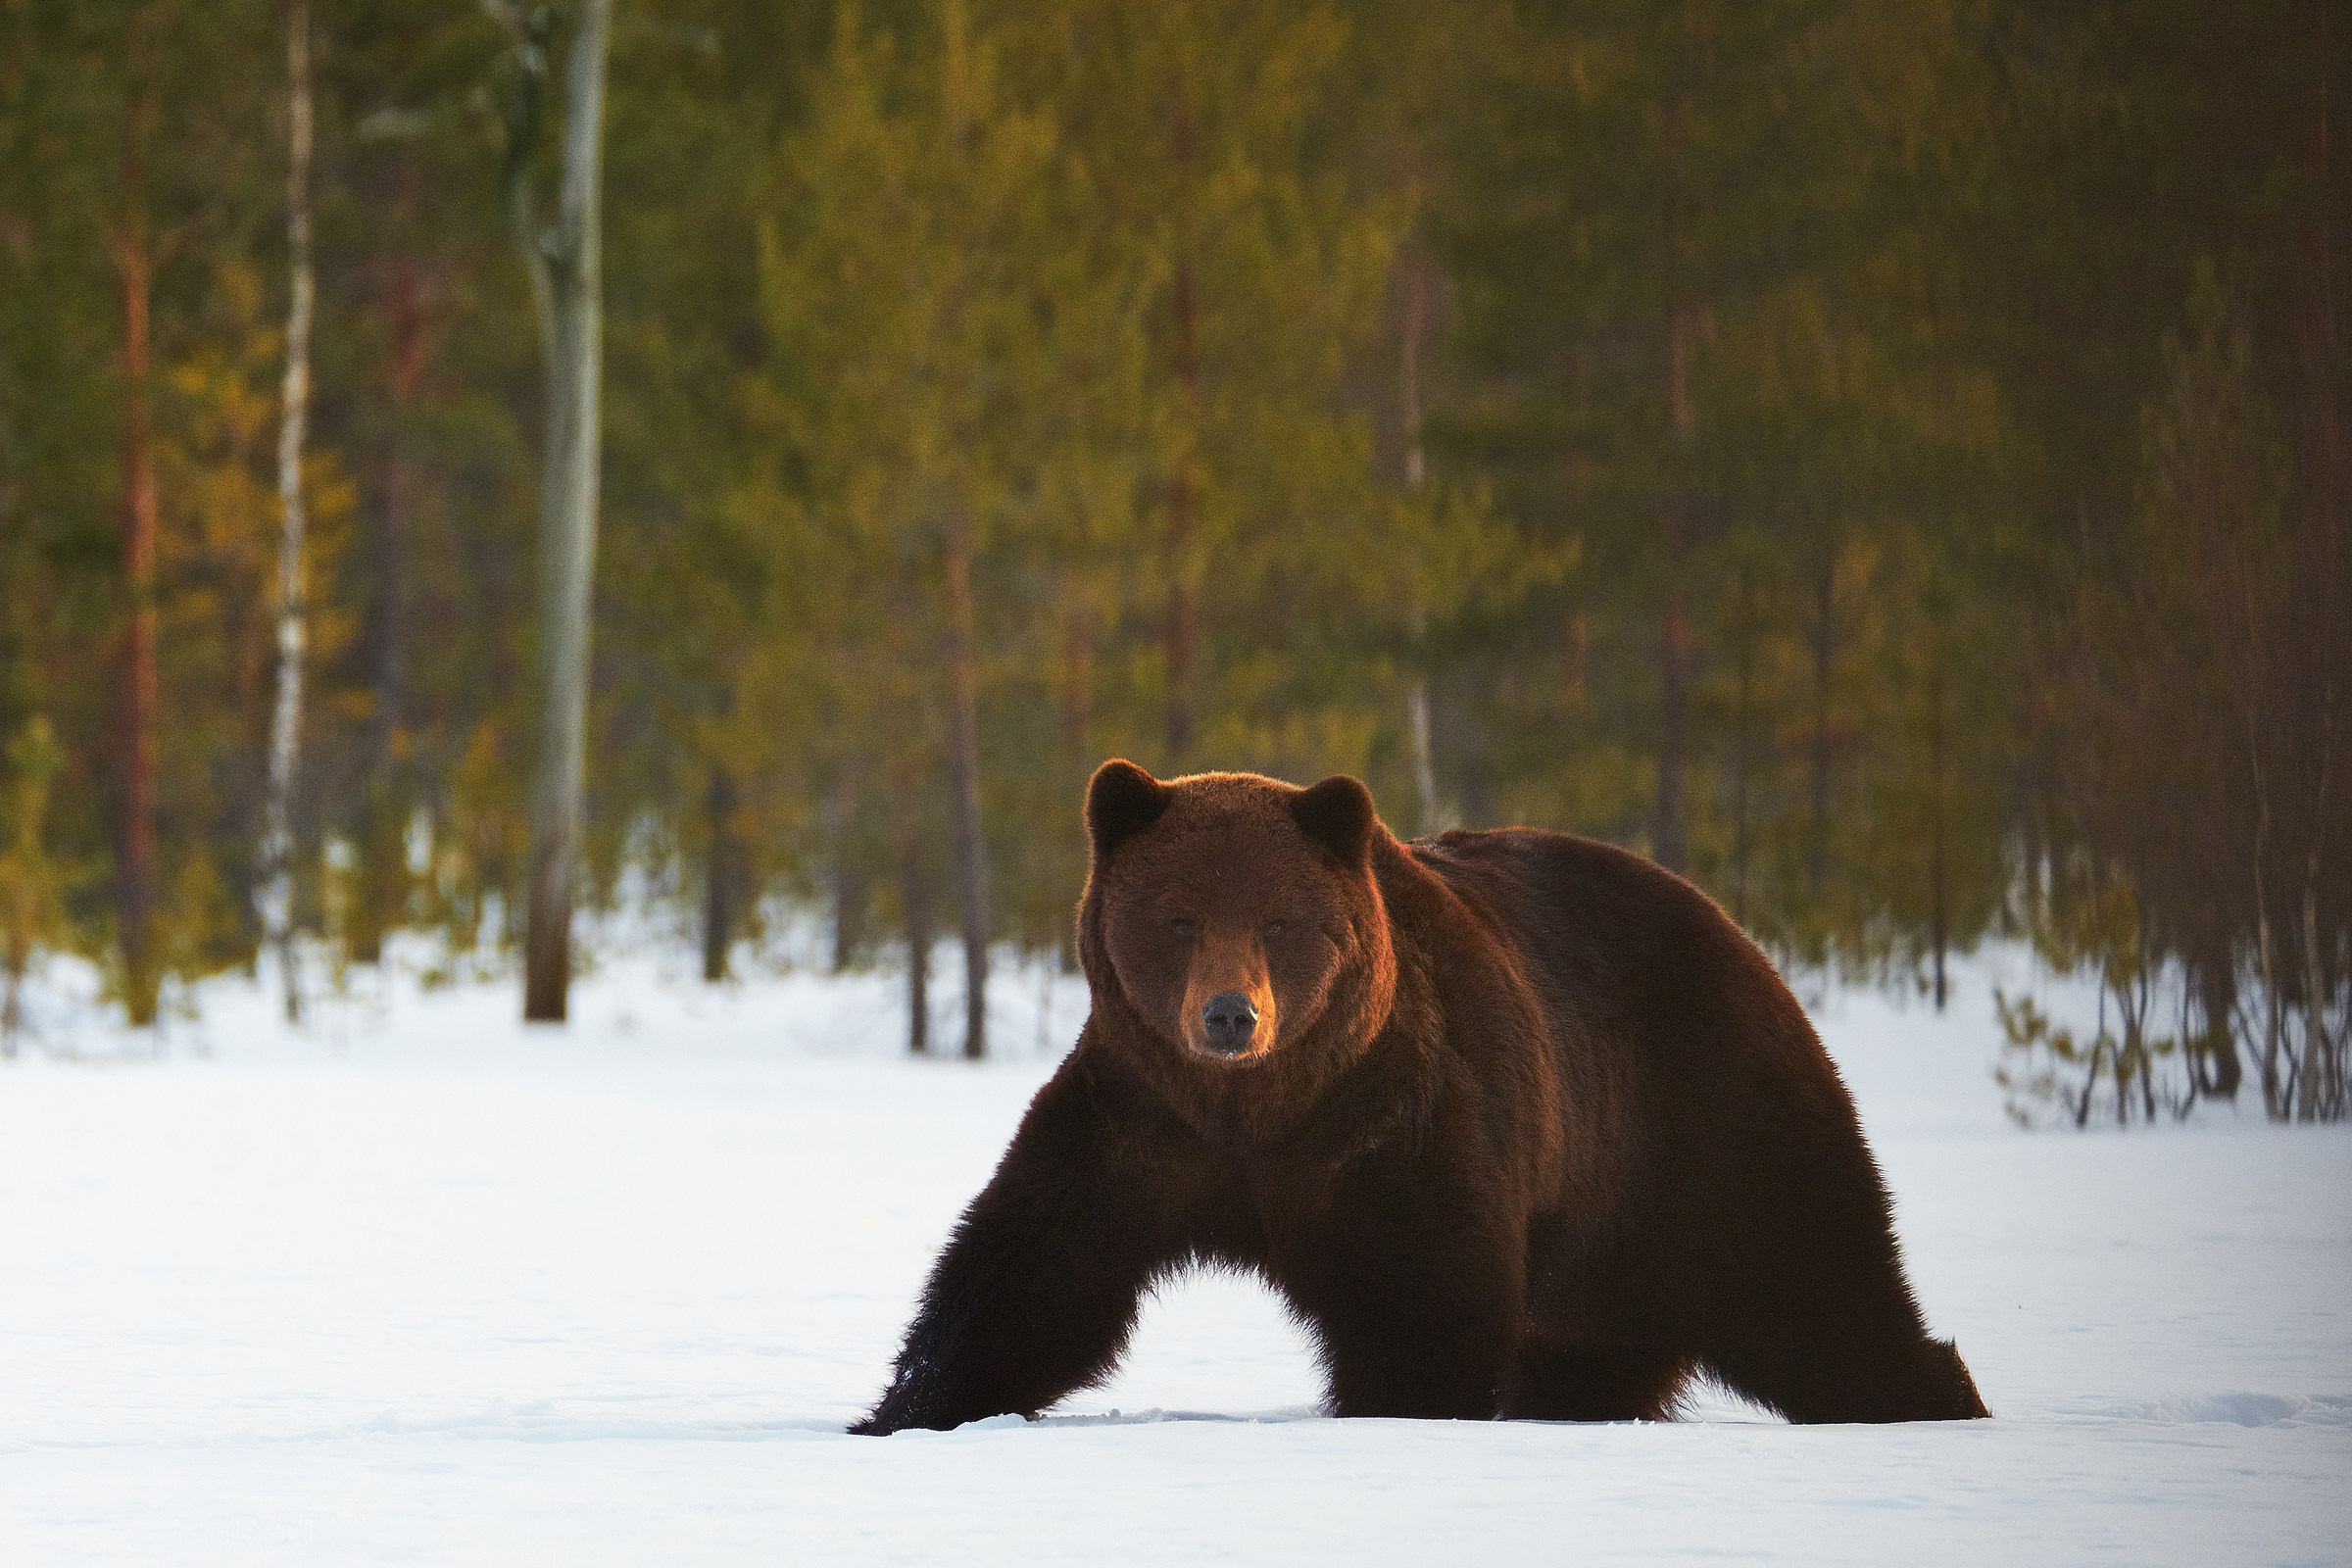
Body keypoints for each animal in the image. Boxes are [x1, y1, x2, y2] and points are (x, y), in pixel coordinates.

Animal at [851, 761, 1988, 1433]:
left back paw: (1934, 1396)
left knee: (1813, 1275)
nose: (1230, 1017)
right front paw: (905, 1408)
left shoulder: (1389, 1120)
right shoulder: (1141, 1120)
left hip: (1701, 1113)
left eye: (1279, 920)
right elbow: (1029, 1273)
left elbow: (1420, 1294)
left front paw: (1400, 1411)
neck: (1263, 1112)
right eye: (1177, 917)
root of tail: (1737, 931)